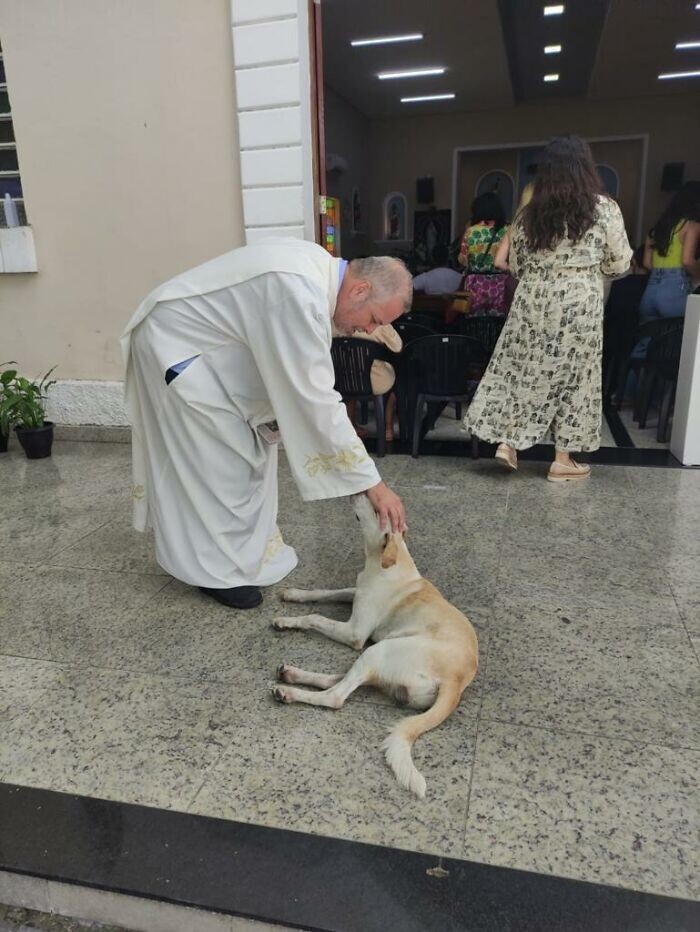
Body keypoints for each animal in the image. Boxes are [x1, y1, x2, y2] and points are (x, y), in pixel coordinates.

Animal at [270, 492, 478, 796]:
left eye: (377, 510)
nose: (358, 493)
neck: (386, 562)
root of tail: (456, 681)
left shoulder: (355, 632)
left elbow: (315, 616)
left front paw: (288, 619)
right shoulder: (354, 591)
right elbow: (324, 593)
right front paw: (294, 595)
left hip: (377, 650)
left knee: (335, 696)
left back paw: (288, 691)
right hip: (381, 661)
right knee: (337, 680)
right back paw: (292, 674)